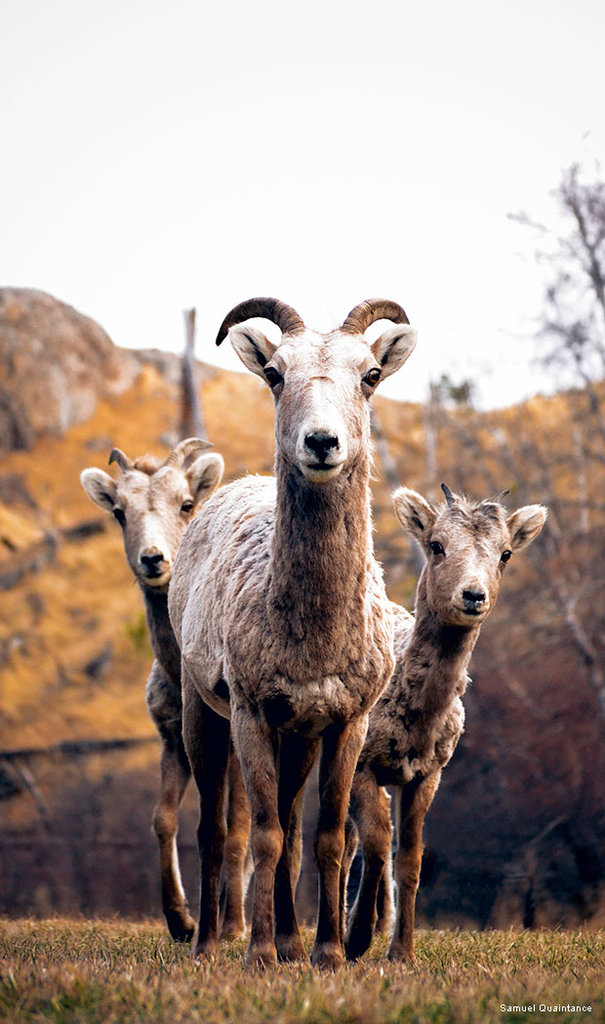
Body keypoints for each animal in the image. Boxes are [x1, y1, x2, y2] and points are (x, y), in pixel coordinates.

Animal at [80, 436, 250, 937]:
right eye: (119, 511)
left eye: (186, 504)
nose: (153, 559)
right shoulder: (174, 741)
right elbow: (164, 820)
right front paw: (182, 921)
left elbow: (238, 828)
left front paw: (233, 927)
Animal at [167, 296, 419, 966]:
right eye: (276, 374)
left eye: (370, 375)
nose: (322, 441)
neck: (316, 640)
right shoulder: (253, 713)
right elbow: (263, 835)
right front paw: (256, 956)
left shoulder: (344, 723)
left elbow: (326, 836)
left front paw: (326, 954)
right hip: (201, 714)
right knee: (215, 828)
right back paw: (209, 946)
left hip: (299, 740)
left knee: (292, 823)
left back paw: (288, 942)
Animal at [343, 483, 548, 962]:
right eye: (436, 545)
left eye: (505, 553)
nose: (473, 595)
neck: (415, 725)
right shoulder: (363, 762)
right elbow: (376, 843)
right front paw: (355, 941)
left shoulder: (428, 772)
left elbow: (410, 857)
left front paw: (400, 951)